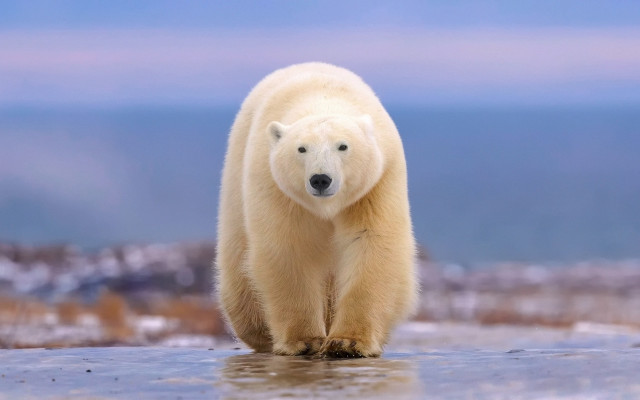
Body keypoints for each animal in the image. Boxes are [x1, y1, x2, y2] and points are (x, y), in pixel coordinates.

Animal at [216, 62, 417, 357]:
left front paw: (347, 342)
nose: (320, 179)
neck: (321, 98)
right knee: (239, 269)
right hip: (234, 190)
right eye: (301, 149)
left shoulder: (376, 183)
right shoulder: (275, 185)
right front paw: (304, 340)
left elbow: (371, 242)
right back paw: (259, 332)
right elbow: (289, 247)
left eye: (343, 146)